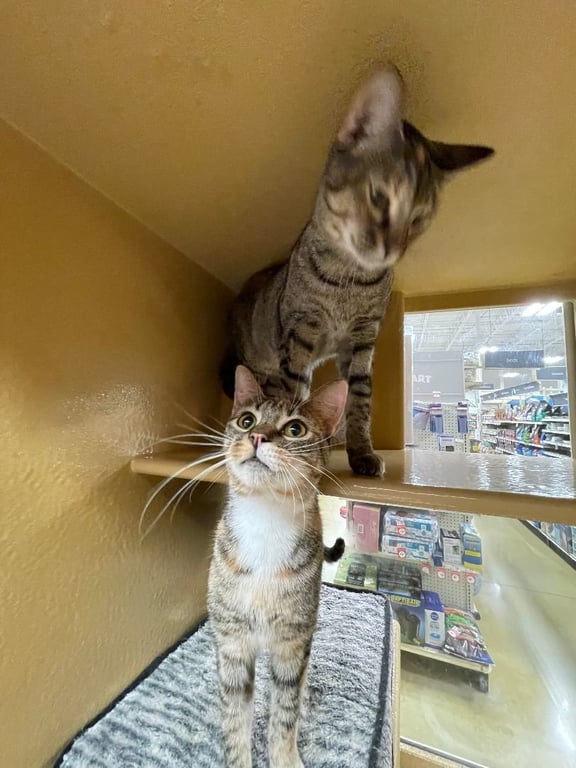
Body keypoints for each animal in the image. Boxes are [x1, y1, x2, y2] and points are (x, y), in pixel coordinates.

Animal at [208, 365, 348, 768]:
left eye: (295, 429)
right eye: (246, 419)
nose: (256, 436)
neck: (265, 520)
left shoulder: (292, 641)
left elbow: (284, 712)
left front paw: (285, 756)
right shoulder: (232, 641)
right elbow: (234, 716)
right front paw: (238, 758)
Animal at [220, 65, 494, 477]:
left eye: (419, 219)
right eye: (379, 197)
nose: (394, 249)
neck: (350, 281)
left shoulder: (364, 341)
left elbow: (359, 402)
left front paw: (360, 452)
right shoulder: (299, 336)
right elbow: (291, 397)